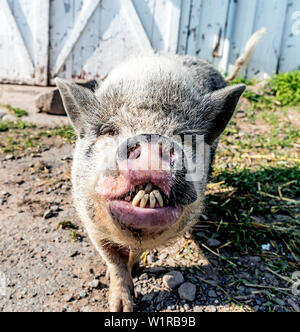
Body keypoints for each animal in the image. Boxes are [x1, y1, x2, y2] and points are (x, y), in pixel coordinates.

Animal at [56, 54, 246, 312]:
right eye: (108, 130)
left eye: (185, 135)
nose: (152, 140)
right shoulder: (91, 222)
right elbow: (114, 260)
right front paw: (120, 307)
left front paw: (135, 270)